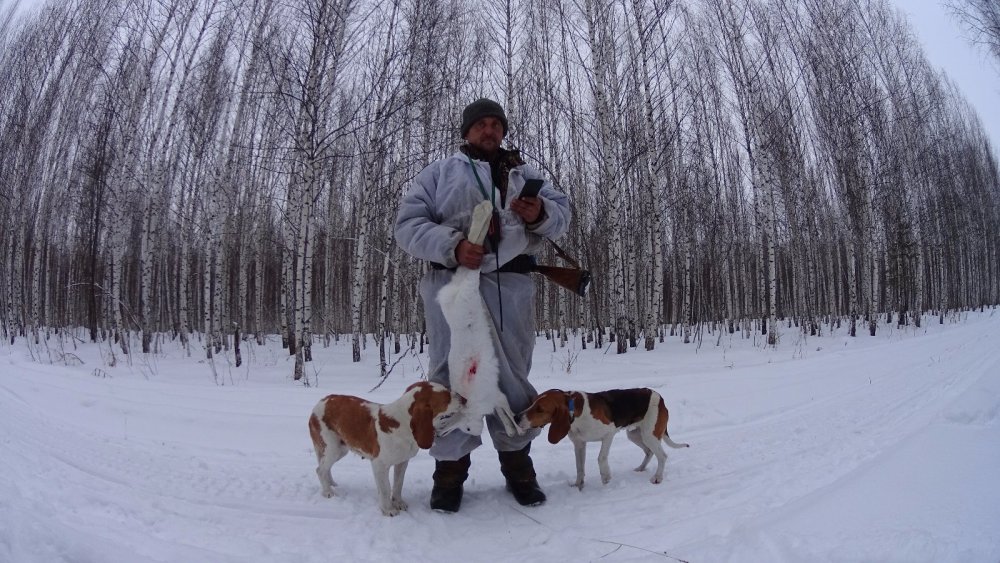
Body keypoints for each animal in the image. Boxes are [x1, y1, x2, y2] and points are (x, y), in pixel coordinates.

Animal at [306, 382, 462, 516]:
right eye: (446, 395)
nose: (464, 398)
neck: (402, 424)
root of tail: (320, 402)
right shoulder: (379, 465)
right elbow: (385, 488)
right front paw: (388, 510)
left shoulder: (402, 462)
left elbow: (398, 484)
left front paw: (398, 503)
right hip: (333, 449)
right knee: (320, 469)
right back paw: (327, 492)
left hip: (340, 448)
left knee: (325, 467)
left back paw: (331, 483)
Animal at [516, 388, 688, 490]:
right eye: (532, 403)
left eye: (540, 409)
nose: (516, 417)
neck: (574, 410)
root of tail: (661, 398)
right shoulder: (579, 444)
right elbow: (579, 467)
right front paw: (578, 485)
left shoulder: (608, 434)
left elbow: (601, 458)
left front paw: (606, 476)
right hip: (635, 435)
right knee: (649, 452)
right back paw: (641, 468)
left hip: (649, 435)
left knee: (662, 456)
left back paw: (658, 477)